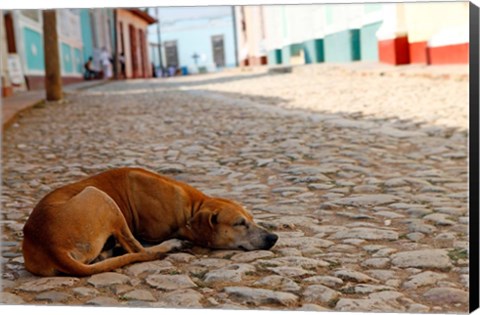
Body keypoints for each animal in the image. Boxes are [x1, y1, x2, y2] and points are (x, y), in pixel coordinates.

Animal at [22, 168, 278, 276]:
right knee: (139, 251)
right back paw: (169, 246)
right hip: (101, 196)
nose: (273, 237)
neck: (191, 206)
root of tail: (49, 244)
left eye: (251, 219)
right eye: (239, 223)